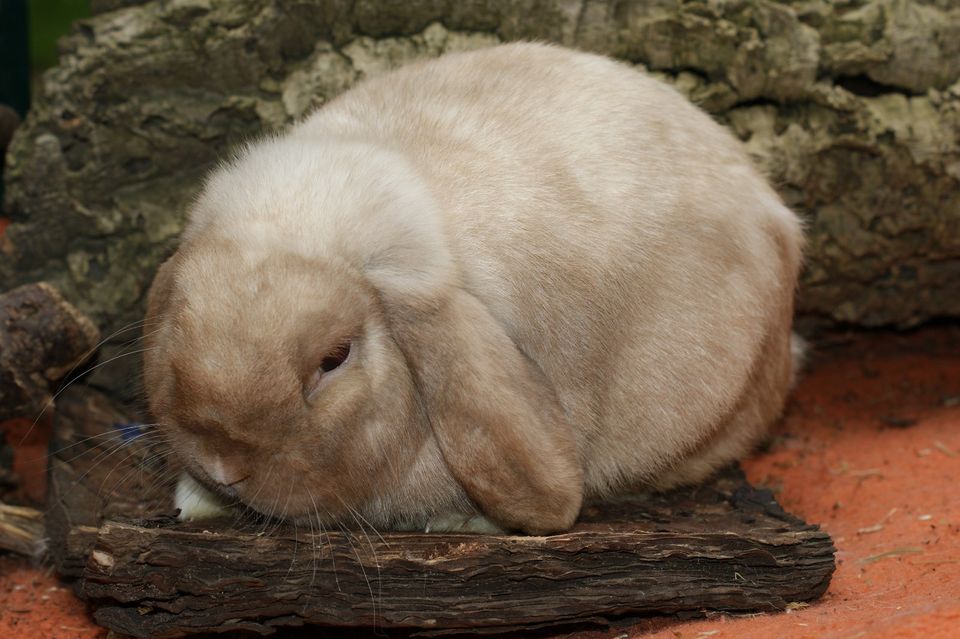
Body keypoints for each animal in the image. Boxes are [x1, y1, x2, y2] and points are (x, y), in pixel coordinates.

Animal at [142, 42, 804, 536]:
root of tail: (775, 216)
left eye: (334, 358)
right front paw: (194, 502)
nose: (225, 465)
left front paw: (464, 523)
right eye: (181, 320)